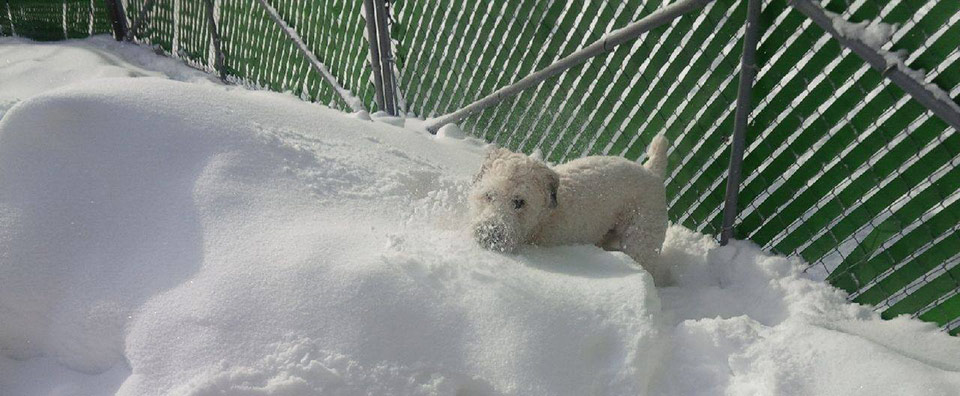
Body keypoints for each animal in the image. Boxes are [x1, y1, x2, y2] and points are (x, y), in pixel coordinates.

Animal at [470, 136, 668, 284]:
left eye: (520, 202)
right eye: (488, 195)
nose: (489, 234)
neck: (543, 219)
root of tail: (653, 173)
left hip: (641, 242)